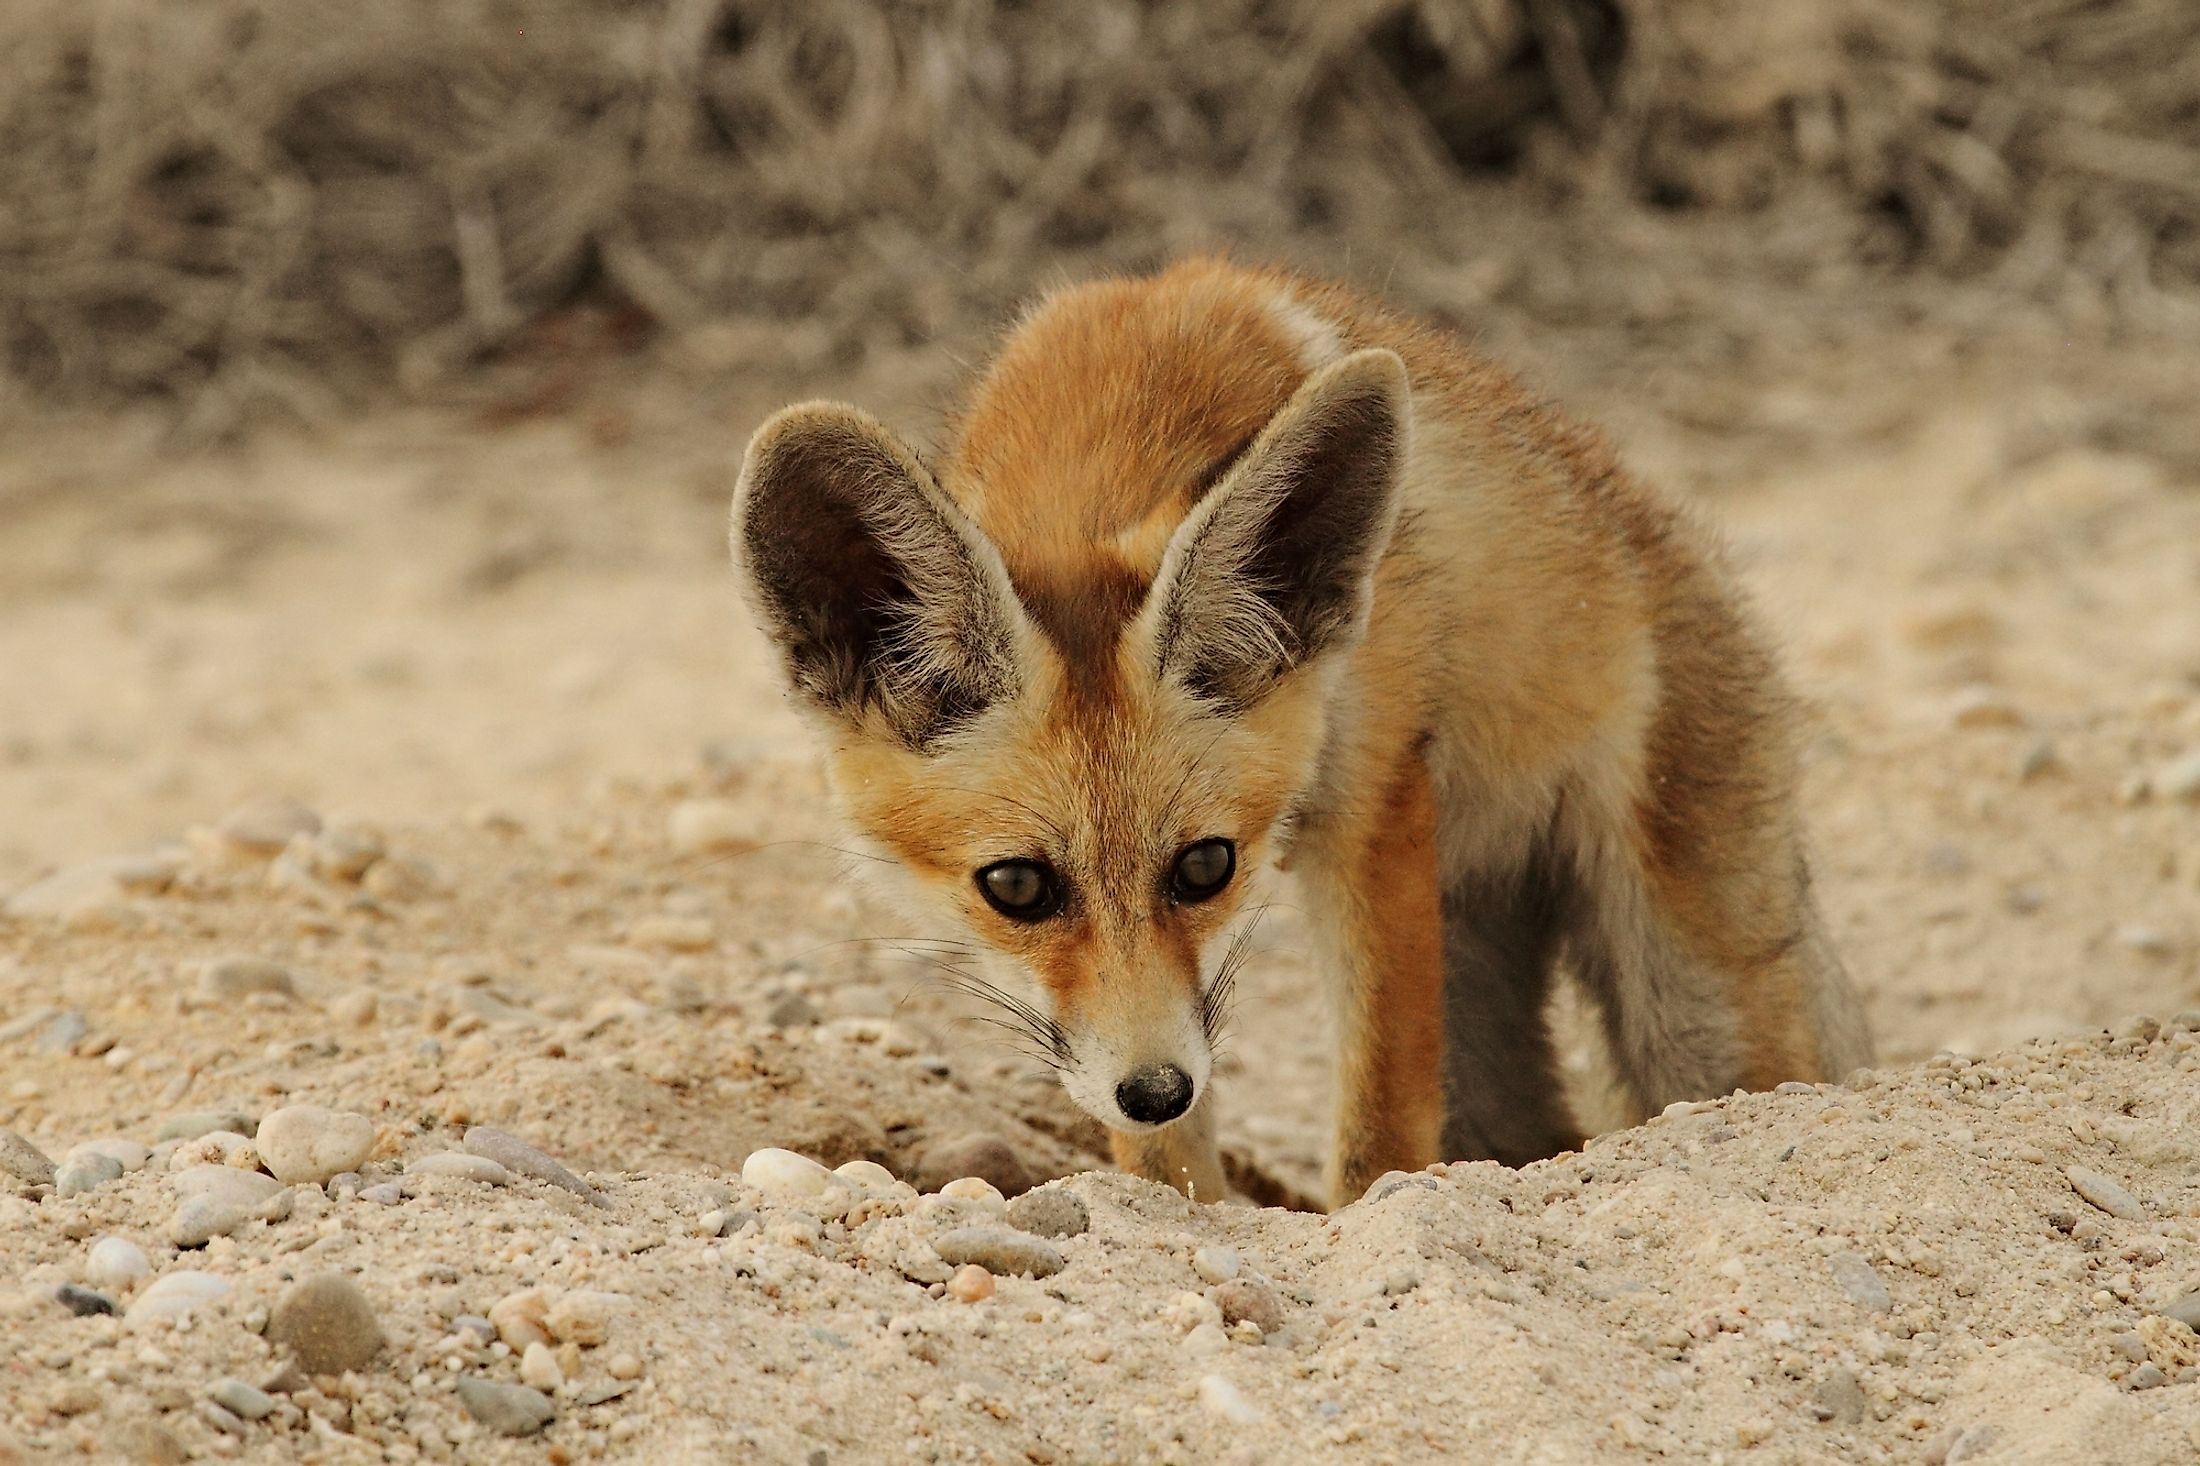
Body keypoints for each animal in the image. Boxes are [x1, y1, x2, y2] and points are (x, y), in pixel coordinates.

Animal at [734, 256, 1874, 1206]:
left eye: (1205, 866)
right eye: (1016, 886)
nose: (1155, 1085)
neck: (1113, 420)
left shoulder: (1373, 795)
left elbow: (1377, 1129)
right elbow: (1165, 1166)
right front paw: (1186, 1218)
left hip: (1688, 1004)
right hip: (1485, 986)